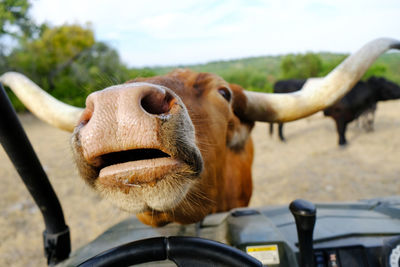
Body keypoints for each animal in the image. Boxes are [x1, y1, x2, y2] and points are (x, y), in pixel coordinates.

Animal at [268, 75, 400, 147]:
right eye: (388, 85)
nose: (399, 88)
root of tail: (278, 82)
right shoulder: (339, 116)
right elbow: (340, 130)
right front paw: (341, 143)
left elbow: (344, 130)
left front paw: (345, 142)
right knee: (280, 126)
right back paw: (283, 139)